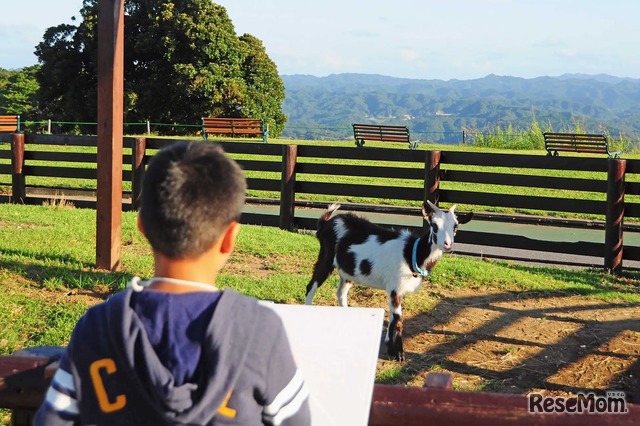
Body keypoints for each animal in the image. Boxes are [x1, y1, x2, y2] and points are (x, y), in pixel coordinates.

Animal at [304, 201, 470, 362]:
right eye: (434, 225)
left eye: (455, 226)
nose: (447, 244)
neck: (411, 252)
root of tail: (326, 223)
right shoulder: (395, 287)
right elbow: (397, 319)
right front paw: (397, 354)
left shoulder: (398, 289)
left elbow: (392, 318)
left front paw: (390, 346)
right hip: (326, 257)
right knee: (311, 286)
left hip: (348, 270)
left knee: (341, 293)